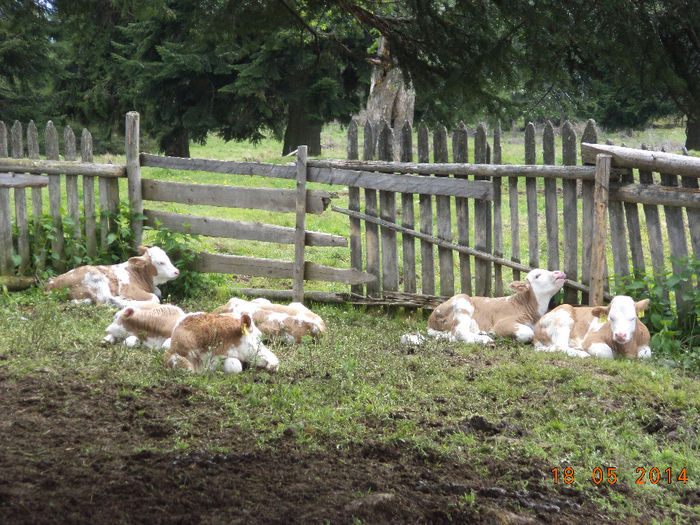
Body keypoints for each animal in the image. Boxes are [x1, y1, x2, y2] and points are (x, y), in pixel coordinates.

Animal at [44, 246, 179, 308]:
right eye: (160, 262)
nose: (177, 272)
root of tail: (51, 284)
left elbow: (158, 292)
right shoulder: (128, 289)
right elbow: (155, 298)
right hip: (97, 279)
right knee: (105, 300)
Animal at [402, 268, 568, 346]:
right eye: (537, 276)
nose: (559, 273)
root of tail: (431, 320)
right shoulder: (503, 322)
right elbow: (527, 333)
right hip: (463, 302)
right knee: (459, 333)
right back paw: (485, 339)